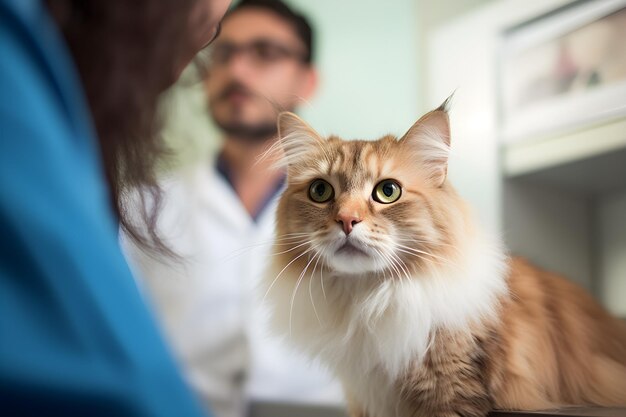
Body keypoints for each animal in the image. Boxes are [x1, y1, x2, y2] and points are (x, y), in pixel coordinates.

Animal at [260, 101, 624, 416]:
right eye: (320, 192)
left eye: (387, 191)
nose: (347, 220)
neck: (370, 301)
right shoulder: (363, 400)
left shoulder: (451, 393)